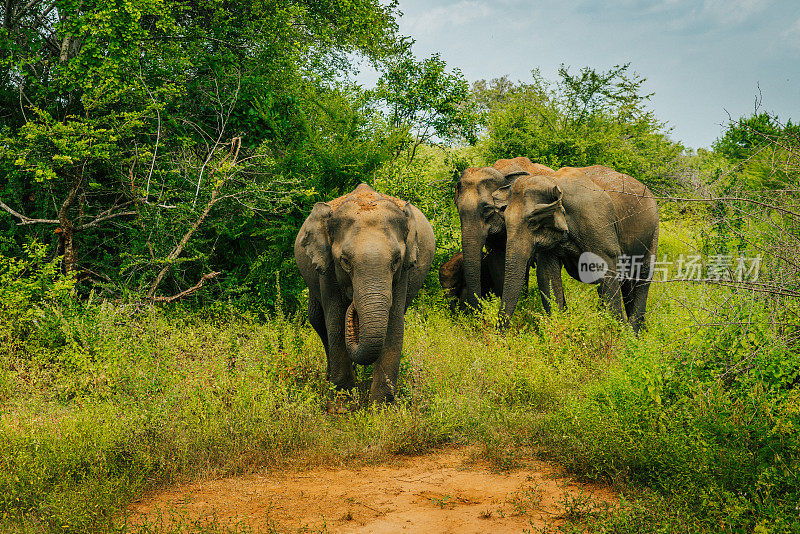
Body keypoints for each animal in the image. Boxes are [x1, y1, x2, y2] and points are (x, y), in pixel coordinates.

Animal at [294, 183, 434, 402]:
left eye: (396, 260)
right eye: (344, 261)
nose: (353, 304)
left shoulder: (404, 273)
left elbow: (394, 327)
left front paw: (380, 407)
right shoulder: (328, 269)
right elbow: (335, 325)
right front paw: (342, 404)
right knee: (317, 321)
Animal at [500, 166, 664, 336]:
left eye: (532, 222)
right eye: (503, 219)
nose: (502, 333)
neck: (554, 181)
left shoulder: (597, 224)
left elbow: (606, 271)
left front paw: (617, 337)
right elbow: (548, 275)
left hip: (654, 230)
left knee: (643, 274)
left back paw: (634, 334)